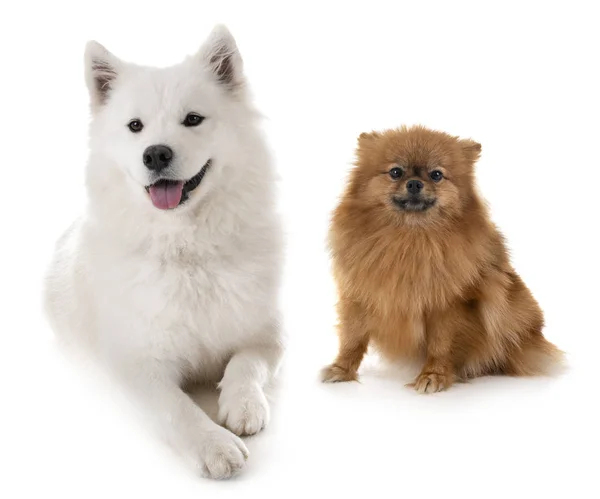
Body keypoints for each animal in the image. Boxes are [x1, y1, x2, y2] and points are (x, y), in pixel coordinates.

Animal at [44, 24, 284, 480]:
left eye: (192, 119)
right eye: (135, 126)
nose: (156, 153)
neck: (187, 250)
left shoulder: (267, 336)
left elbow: (246, 364)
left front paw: (243, 404)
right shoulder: (137, 366)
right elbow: (178, 408)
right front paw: (214, 445)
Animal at [324, 126, 564, 394]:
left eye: (436, 175)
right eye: (396, 172)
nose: (414, 183)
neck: (410, 238)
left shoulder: (448, 305)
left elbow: (441, 345)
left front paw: (433, 375)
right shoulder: (358, 294)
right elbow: (352, 339)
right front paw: (341, 369)